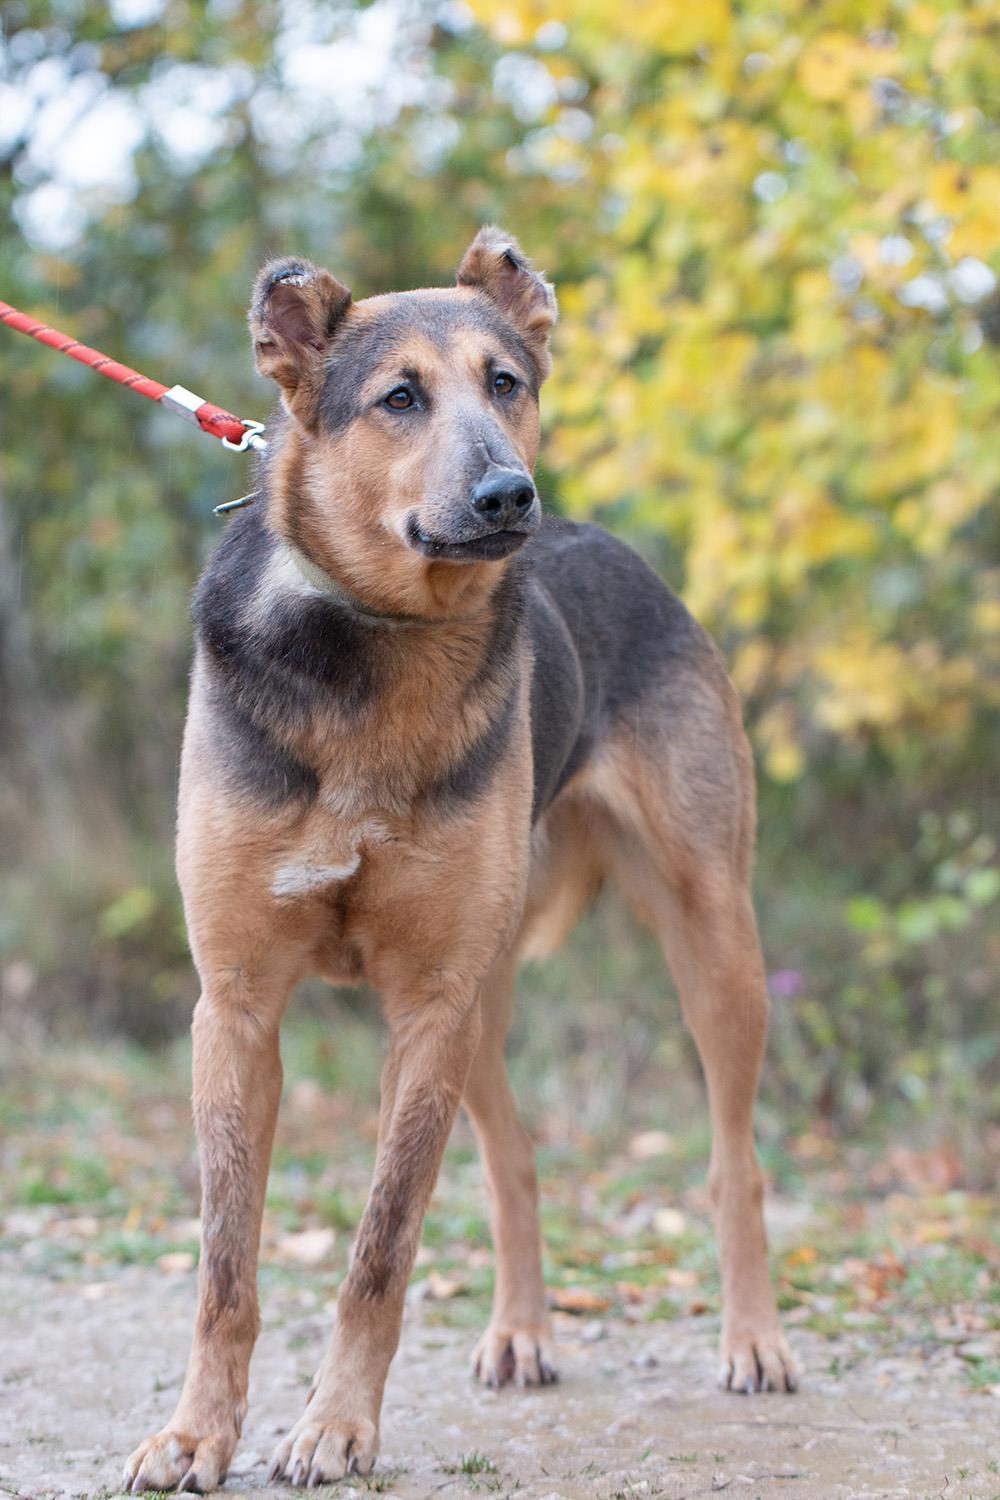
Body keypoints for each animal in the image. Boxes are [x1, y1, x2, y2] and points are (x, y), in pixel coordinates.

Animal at [125, 228, 797, 1494]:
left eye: (506, 383)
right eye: (398, 398)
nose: (508, 496)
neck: (381, 640)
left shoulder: (425, 1005)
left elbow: (379, 1251)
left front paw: (337, 1426)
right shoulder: (238, 1008)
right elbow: (227, 1265)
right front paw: (197, 1432)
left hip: (710, 940)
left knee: (732, 1161)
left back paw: (754, 1341)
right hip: (485, 1003)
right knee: (512, 1159)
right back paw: (520, 1330)